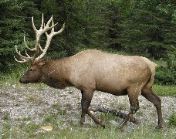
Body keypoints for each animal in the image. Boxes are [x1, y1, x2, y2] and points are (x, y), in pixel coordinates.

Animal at [14, 14, 164, 129]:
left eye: (31, 68)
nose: (21, 79)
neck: (69, 73)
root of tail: (152, 65)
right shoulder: (82, 88)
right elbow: (83, 106)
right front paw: (84, 122)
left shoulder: (89, 86)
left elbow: (86, 107)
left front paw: (99, 123)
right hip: (146, 87)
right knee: (157, 100)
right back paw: (159, 125)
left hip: (134, 86)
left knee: (135, 106)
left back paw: (121, 126)